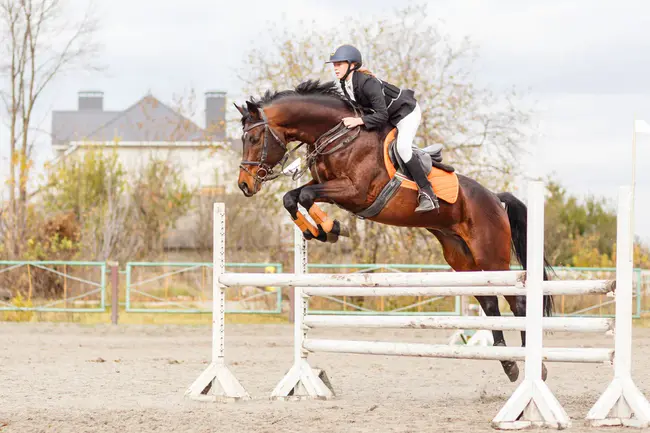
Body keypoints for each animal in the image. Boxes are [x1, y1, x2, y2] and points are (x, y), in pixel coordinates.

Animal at [233, 78, 552, 382]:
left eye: (254, 138)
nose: (244, 185)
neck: (337, 135)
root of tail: (496, 198)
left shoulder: (355, 192)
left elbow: (307, 196)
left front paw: (330, 228)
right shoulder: (329, 187)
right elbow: (293, 197)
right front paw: (322, 231)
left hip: (490, 256)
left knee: (518, 302)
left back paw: (534, 367)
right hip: (462, 258)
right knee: (489, 302)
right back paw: (508, 362)